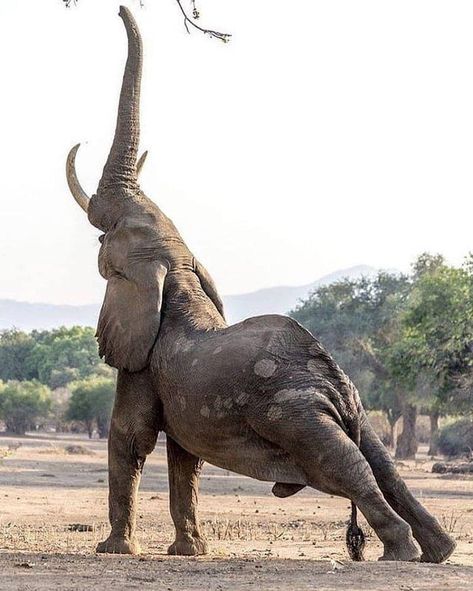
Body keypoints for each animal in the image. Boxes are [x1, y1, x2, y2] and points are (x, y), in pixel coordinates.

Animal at [64, 5, 456, 564]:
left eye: (106, 238)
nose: (118, 9)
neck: (178, 273)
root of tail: (334, 384)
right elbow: (183, 456)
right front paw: (189, 552)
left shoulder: (142, 361)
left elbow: (131, 437)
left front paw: (113, 550)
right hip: (349, 403)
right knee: (380, 462)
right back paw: (437, 551)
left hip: (295, 413)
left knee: (345, 466)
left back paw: (399, 553)